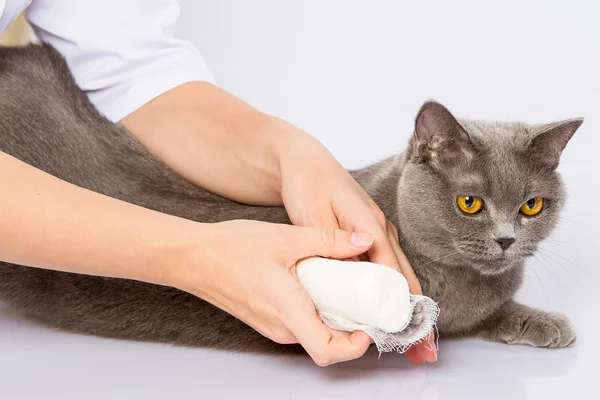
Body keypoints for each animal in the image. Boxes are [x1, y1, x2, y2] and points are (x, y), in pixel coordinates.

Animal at [0, 44, 580, 354]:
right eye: (470, 204)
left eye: (531, 206)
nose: (506, 240)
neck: (460, 284)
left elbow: (494, 312)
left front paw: (544, 322)